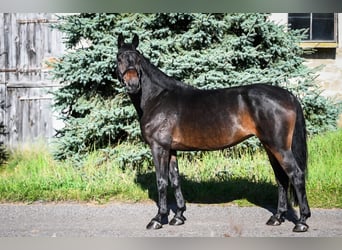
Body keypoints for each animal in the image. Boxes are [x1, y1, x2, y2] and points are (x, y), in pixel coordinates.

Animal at [115, 33, 310, 232]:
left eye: (138, 59)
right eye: (119, 58)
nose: (133, 84)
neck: (158, 97)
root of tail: (289, 96)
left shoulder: (158, 148)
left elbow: (161, 182)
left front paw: (157, 219)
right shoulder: (171, 149)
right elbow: (175, 180)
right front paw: (178, 216)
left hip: (279, 147)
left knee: (296, 175)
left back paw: (302, 221)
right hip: (270, 146)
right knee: (281, 178)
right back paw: (277, 217)